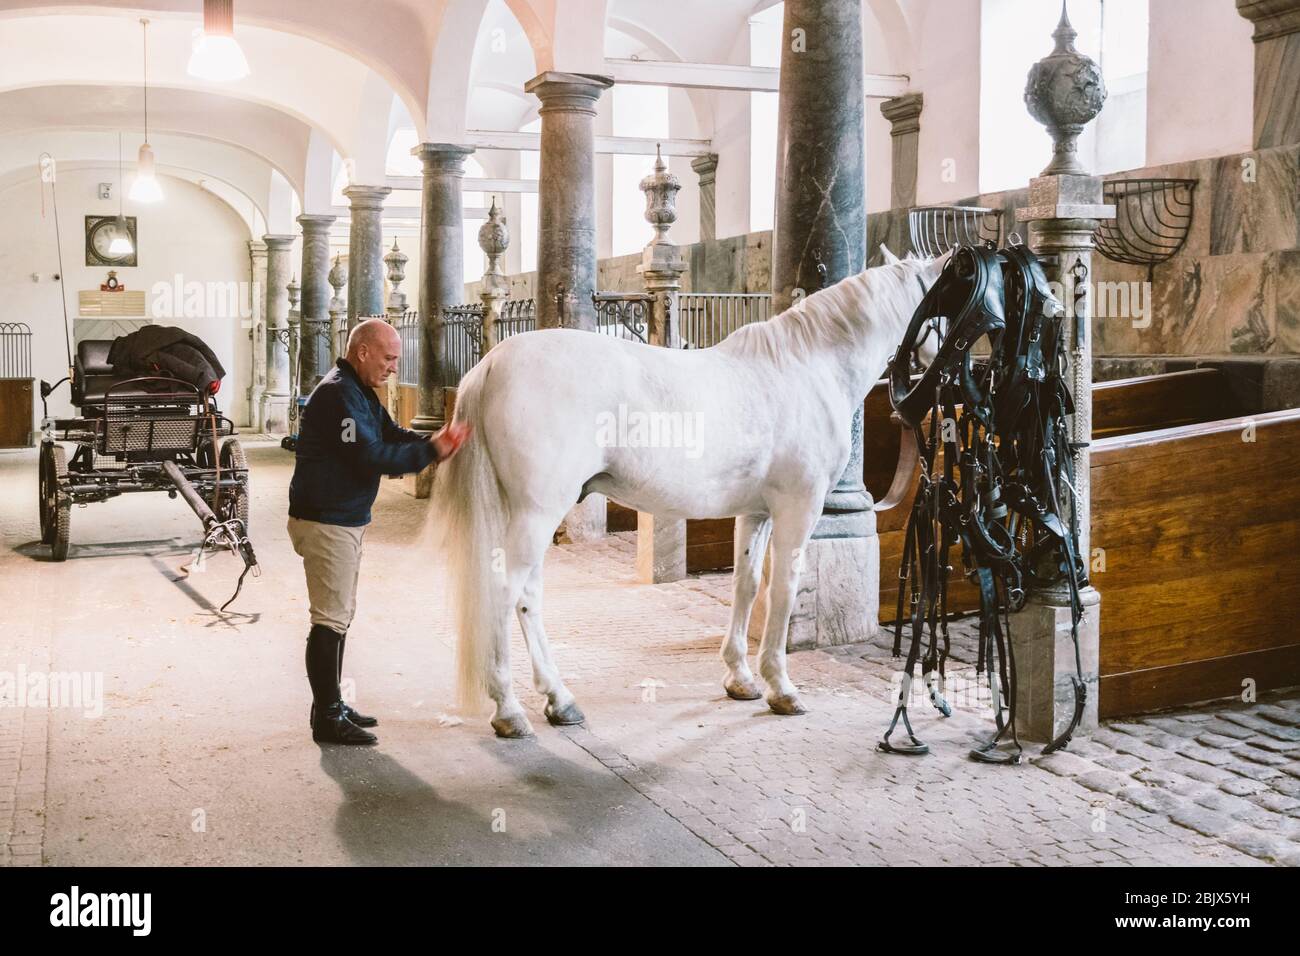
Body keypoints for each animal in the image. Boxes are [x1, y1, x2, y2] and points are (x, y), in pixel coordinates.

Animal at [434, 251, 946, 738]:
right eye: (945, 303)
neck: (807, 369)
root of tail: (489, 365)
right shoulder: (799, 507)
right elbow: (783, 590)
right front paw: (781, 687)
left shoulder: (757, 512)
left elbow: (747, 585)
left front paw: (741, 678)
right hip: (537, 513)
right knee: (505, 592)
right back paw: (509, 710)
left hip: (530, 515)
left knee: (528, 597)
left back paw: (560, 701)